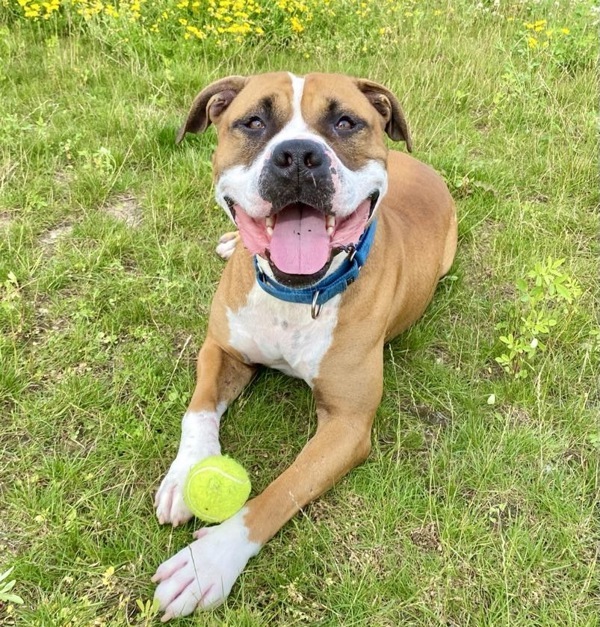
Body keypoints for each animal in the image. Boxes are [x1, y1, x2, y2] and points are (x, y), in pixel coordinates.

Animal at [152, 71, 458, 620]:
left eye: (346, 122)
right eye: (253, 121)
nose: (297, 155)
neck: (297, 294)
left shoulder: (347, 426)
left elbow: (281, 489)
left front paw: (209, 562)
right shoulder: (220, 350)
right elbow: (199, 410)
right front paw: (184, 473)